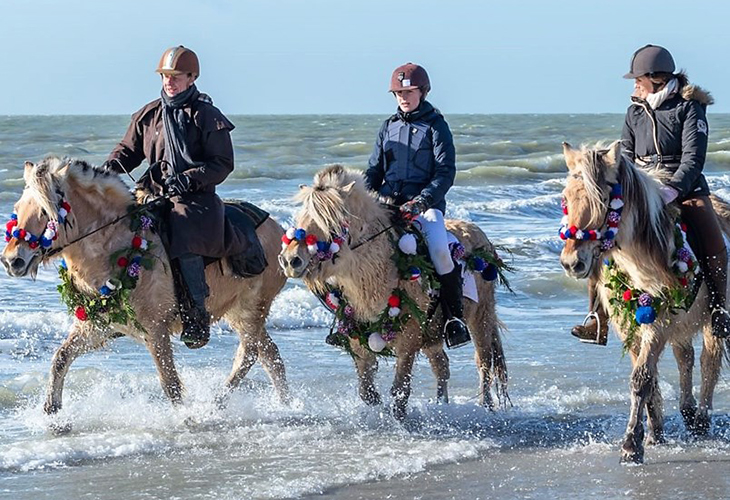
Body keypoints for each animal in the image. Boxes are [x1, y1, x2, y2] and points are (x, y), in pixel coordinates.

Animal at [1, 157, 290, 425]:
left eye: (44, 212)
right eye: (17, 210)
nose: (11, 260)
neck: (119, 248)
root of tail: (278, 228)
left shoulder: (155, 330)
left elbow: (169, 382)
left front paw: (186, 417)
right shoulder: (96, 326)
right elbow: (61, 357)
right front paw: (51, 410)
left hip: (250, 309)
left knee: (249, 354)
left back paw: (216, 404)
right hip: (237, 312)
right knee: (269, 354)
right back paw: (283, 404)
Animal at [278, 164, 508, 420]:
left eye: (331, 223)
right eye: (301, 218)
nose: (290, 260)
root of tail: (481, 237)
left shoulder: (409, 339)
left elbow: (400, 391)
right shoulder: (360, 338)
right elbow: (367, 391)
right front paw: (377, 411)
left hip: (481, 318)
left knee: (483, 362)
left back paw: (487, 408)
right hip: (433, 335)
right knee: (442, 366)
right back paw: (442, 406)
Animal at [559, 141, 729, 464]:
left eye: (603, 200)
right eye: (565, 198)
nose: (571, 263)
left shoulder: (657, 324)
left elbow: (642, 379)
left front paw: (631, 445)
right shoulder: (631, 325)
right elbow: (648, 378)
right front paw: (653, 432)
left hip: (712, 321)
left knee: (708, 361)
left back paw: (701, 420)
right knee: (685, 357)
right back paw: (688, 413)